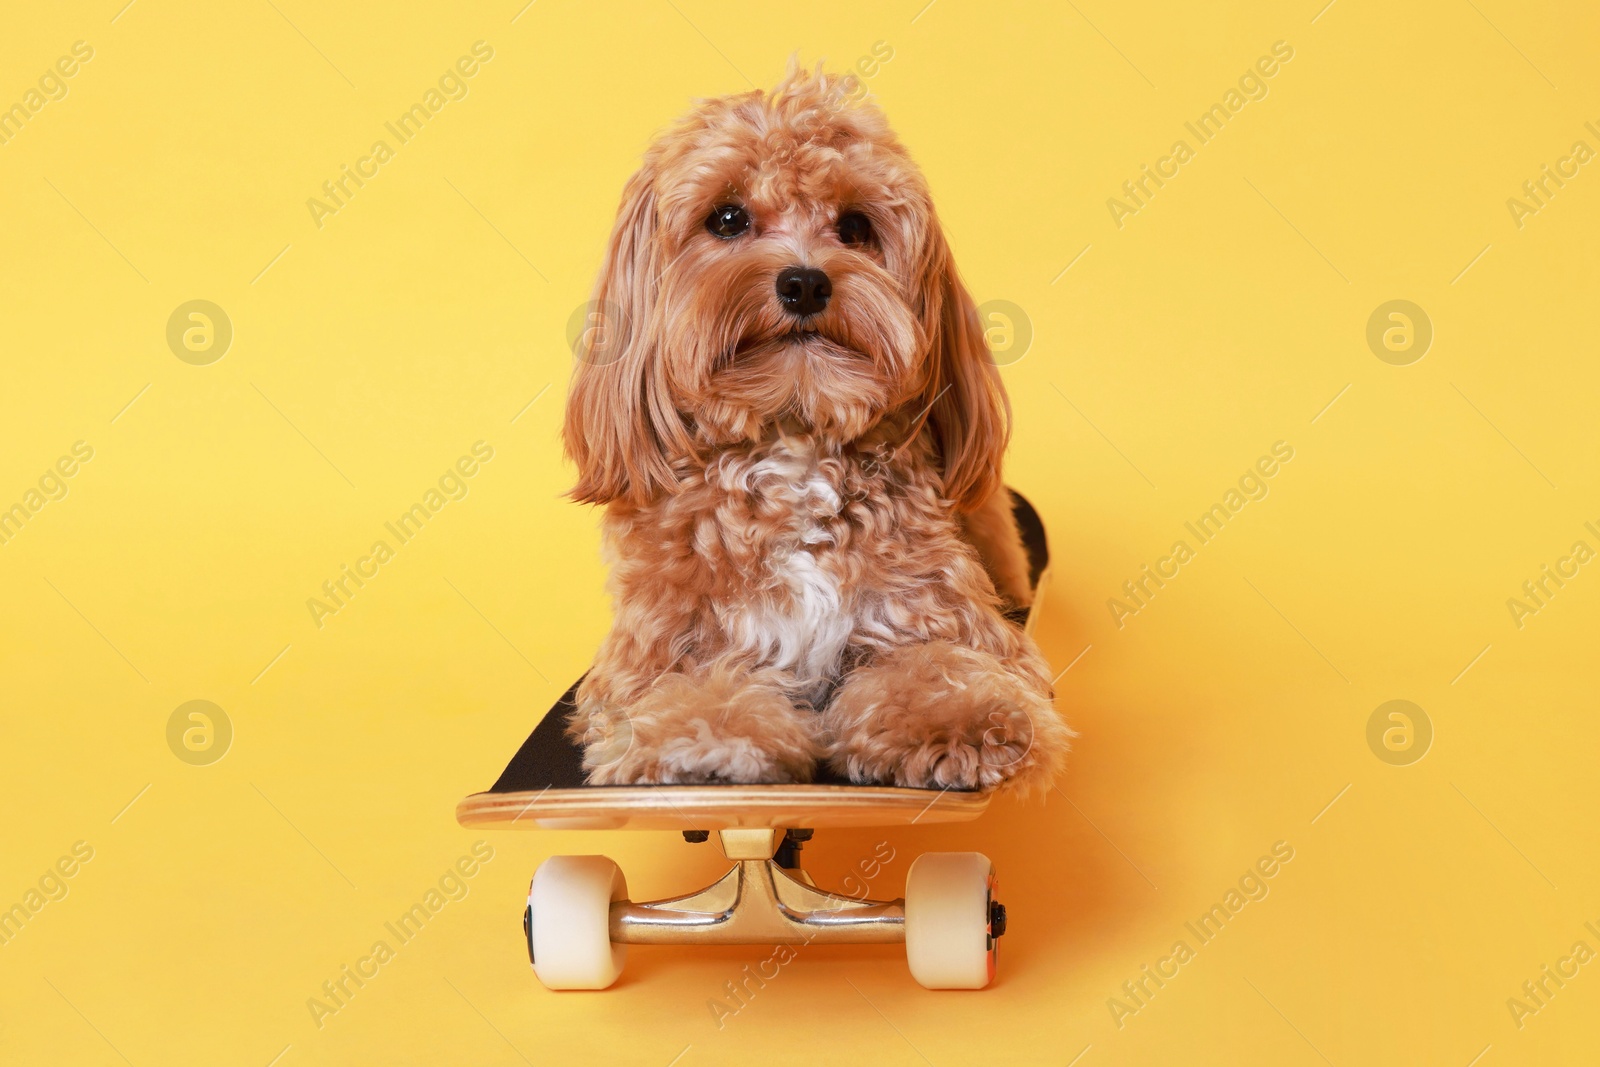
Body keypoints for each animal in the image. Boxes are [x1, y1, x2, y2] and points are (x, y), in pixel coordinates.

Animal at [563, 62, 1075, 796]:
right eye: (727, 218)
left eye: (856, 226)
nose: (803, 283)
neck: (794, 440)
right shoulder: (654, 652)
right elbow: (687, 691)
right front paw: (705, 740)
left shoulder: (944, 614)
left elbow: (940, 665)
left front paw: (962, 722)